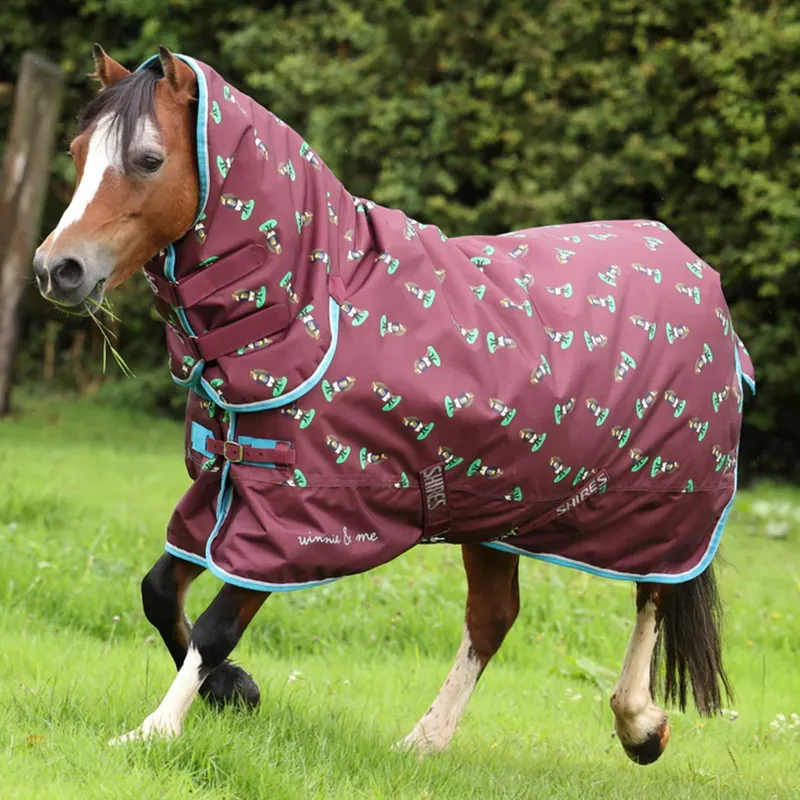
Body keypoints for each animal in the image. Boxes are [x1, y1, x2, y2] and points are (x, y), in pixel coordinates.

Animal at [34, 45, 754, 762]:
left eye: (148, 159)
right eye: (75, 151)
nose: (56, 269)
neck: (315, 307)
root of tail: (702, 279)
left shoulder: (303, 515)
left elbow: (216, 625)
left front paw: (154, 728)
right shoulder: (228, 486)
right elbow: (159, 591)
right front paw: (233, 689)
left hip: (662, 507)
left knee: (654, 595)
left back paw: (640, 727)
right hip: (495, 506)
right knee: (494, 617)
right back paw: (424, 742)